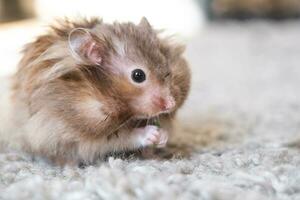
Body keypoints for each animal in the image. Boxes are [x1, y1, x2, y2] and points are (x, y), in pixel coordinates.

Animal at [8, 16, 191, 164]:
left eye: (168, 71)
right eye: (138, 75)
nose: (170, 104)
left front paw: (162, 137)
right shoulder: (76, 132)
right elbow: (122, 138)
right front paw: (152, 134)